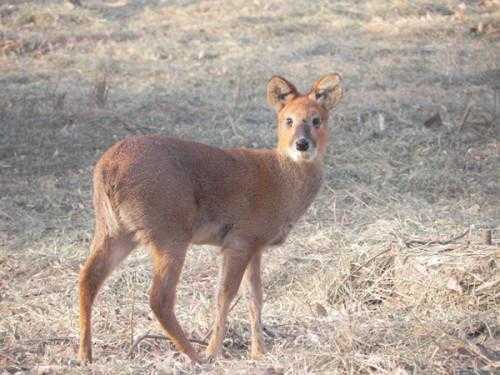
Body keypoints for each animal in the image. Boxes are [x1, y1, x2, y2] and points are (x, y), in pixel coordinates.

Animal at [78, 73, 344, 364]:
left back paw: (85, 354)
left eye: (316, 120)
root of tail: (108, 169)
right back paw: (195, 355)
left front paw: (258, 352)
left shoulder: (256, 245)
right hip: (168, 231)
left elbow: (256, 296)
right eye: (288, 120)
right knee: (159, 297)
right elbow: (225, 295)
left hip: (114, 229)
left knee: (88, 279)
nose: (302, 144)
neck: (280, 181)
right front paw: (215, 350)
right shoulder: (240, 240)